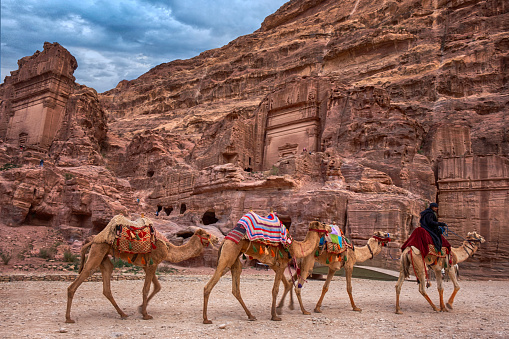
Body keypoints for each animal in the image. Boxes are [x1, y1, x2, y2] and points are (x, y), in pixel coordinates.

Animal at [65, 226, 216, 324]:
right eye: (207, 234)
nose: (216, 238)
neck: (169, 249)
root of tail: (93, 239)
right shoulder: (153, 263)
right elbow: (146, 288)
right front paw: (145, 315)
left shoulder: (147, 265)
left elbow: (157, 287)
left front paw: (140, 308)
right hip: (98, 251)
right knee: (81, 277)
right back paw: (68, 318)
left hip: (103, 257)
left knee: (107, 284)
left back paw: (123, 314)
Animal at [202, 220, 330, 324]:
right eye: (323, 224)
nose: (330, 228)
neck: (294, 247)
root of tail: (224, 240)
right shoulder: (282, 264)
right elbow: (275, 290)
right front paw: (275, 316)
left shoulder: (274, 265)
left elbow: (287, 284)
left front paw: (299, 309)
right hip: (227, 257)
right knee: (209, 286)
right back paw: (206, 319)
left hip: (235, 260)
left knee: (236, 289)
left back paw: (251, 316)